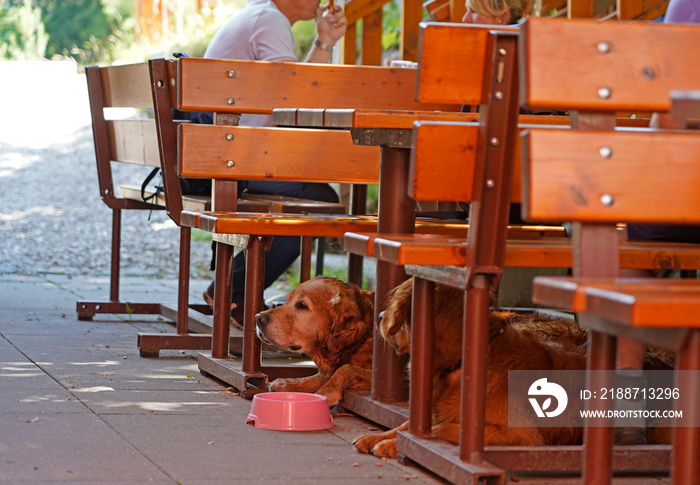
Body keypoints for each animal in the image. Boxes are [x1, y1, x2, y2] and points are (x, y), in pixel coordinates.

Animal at [256, 276, 378, 404]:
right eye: (287, 300)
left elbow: (346, 368)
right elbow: (320, 376)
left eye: (302, 305)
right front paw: (289, 382)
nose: (258, 318)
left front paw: (326, 391)